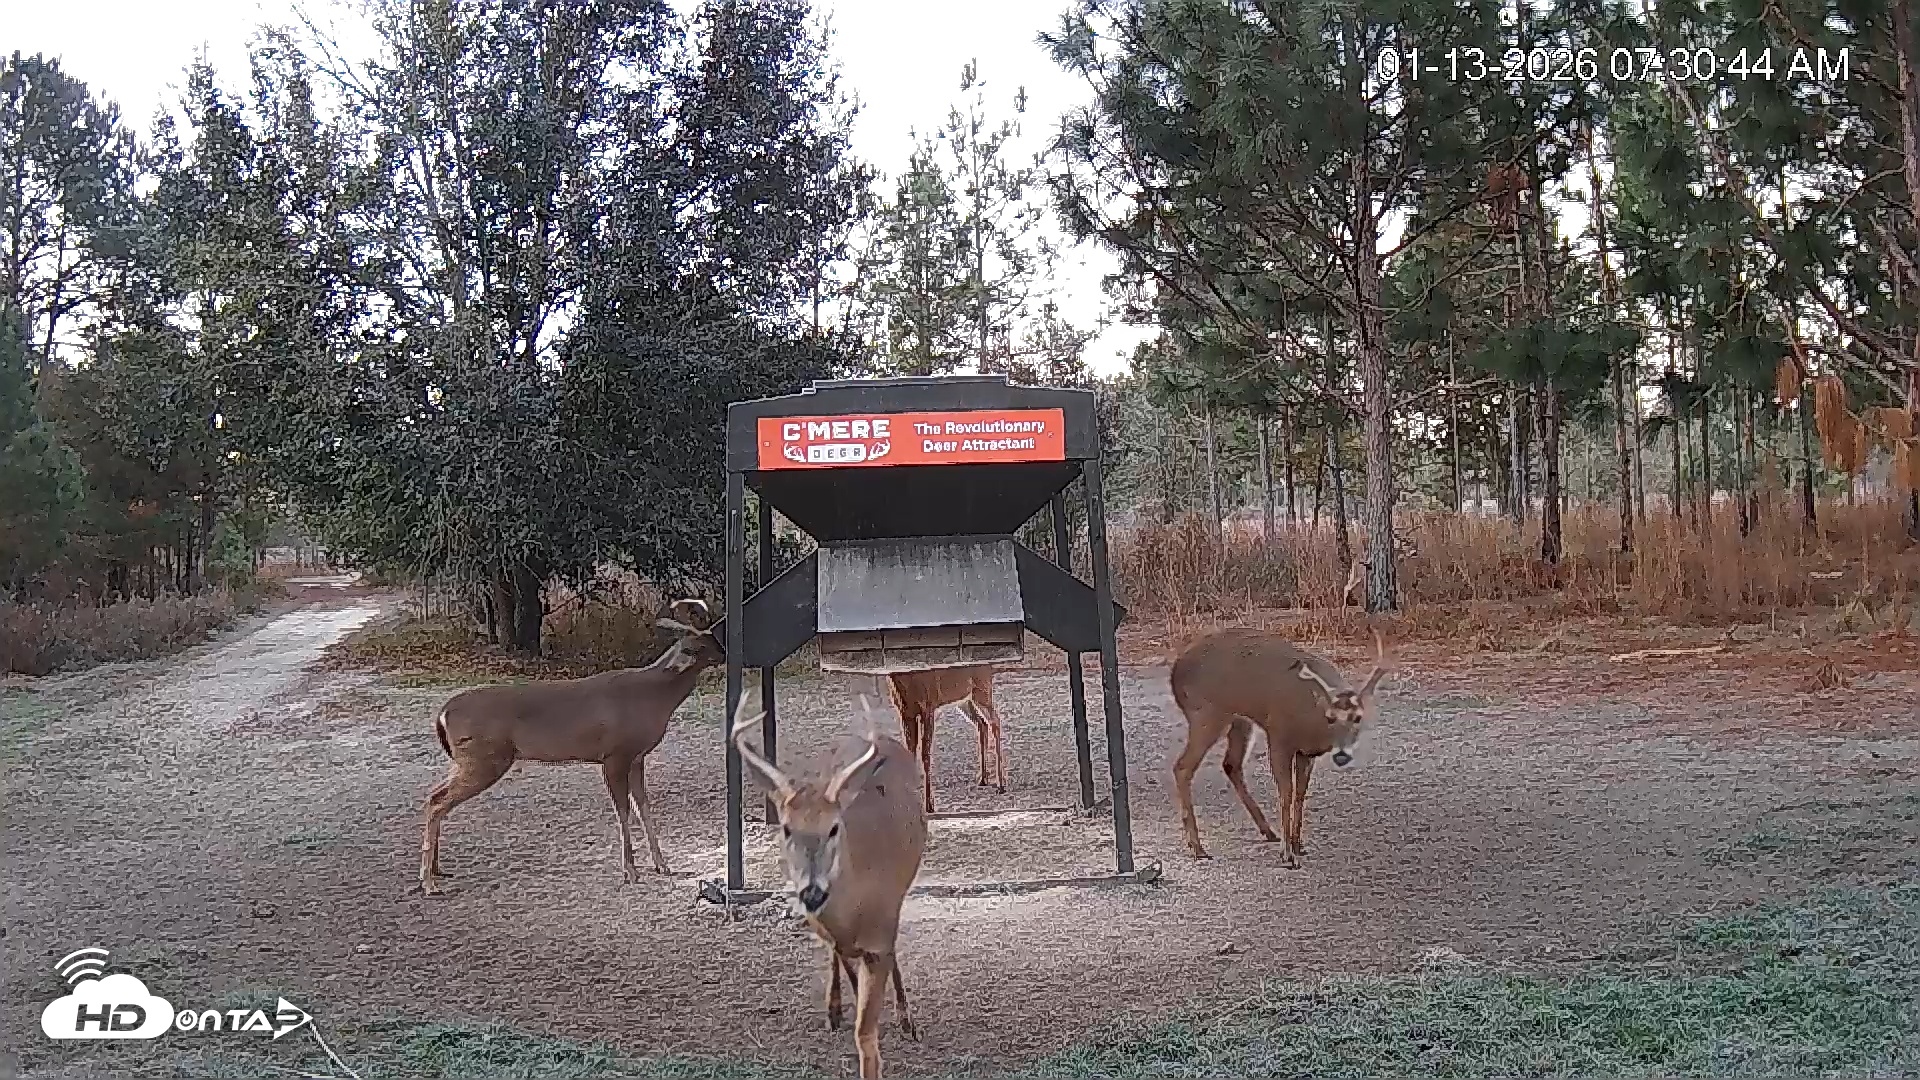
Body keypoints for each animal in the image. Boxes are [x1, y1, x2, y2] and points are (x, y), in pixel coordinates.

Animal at [417, 598, 723, 896]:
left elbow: (643, 807)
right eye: (701, 645)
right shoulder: (614, 755)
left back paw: (436, 872)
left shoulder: (637, 757)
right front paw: (631, 872)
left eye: (712, 638)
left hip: (468, 760)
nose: (723, 653)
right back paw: (429, 882)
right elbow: (623, 811)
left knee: (434, 795)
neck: (653, 697)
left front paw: (662, 865)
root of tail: (443, 713)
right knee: (437, 802)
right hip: (485, 759)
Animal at [731, 689, 927, 1080]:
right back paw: (835, 1008)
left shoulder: (881, 933)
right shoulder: (834, 931)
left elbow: (865, 1033)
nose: (812, 891)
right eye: (786, 828)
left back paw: (903, 1016)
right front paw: (840, 1008)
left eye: (834, 827)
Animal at [886, 664, 1007, 814]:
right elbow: (910, 753)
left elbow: (925, 755)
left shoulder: (928, 705)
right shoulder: (904, 712)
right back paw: (983, 779)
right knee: (982, 724)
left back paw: (1001, 785)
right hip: (965, 698)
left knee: (995, 721)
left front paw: (930, 806)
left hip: (981, 687)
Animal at [1169, 628, 1390, 866]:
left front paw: (1298, 844)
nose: (1341, 755)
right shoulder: (1278, 737)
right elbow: (1286, 792)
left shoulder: (1305, 752)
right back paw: (1198, 848)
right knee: (1182, 767)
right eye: (1330, 717)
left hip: (1240, 721)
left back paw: (1268, 831)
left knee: (1231, 764)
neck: (1310, 723)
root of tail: (1175, 671)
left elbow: (1300, 794)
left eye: (1357, 718)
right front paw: (1288, 854)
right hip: (1206, 714)